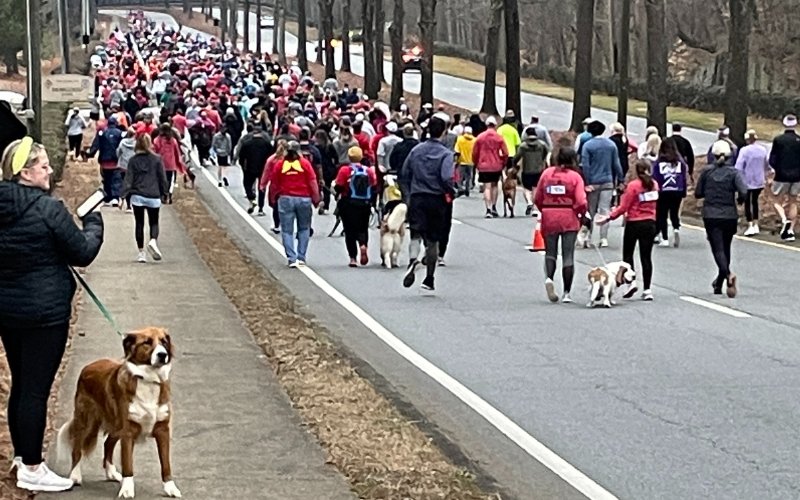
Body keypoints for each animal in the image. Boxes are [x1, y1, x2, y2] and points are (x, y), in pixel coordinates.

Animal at [55, 326, 180, 498]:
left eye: (163, 341)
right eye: (147, 342)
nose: (162, 354)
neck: (147, 379)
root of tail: (88, 366)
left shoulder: (162, 430)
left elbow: (166, 464)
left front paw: (170, 488)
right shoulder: (128, 432)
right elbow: (128, 464)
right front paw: (127, 490)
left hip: (115, 424)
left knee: (107, 443)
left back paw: (111, 473)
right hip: (87, 421)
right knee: (77, 448)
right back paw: (75, 476)